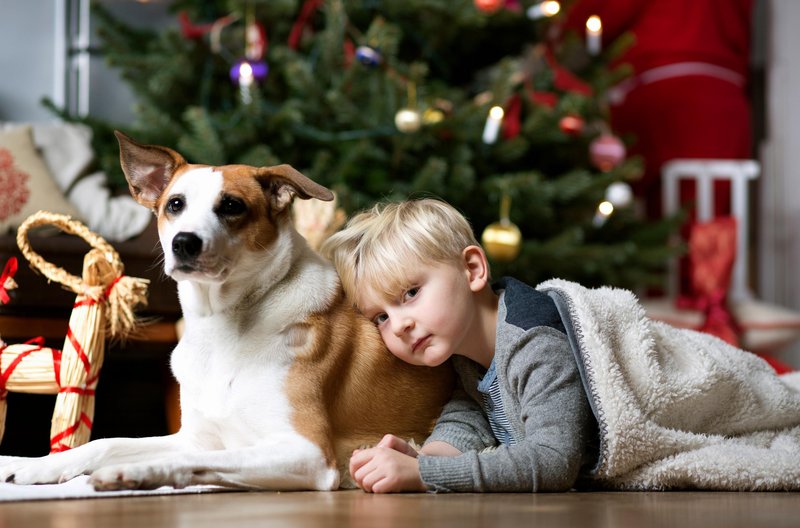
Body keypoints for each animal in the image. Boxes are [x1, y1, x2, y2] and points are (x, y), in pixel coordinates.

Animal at [0, 132, 450, 490]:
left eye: (232, 206)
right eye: (175, 204)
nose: (184, 242)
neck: (221, 325)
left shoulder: (307, 452)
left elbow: (190, 460)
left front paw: (136, 473)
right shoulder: (194, 436)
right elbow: (105, 442)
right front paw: (35, 465)